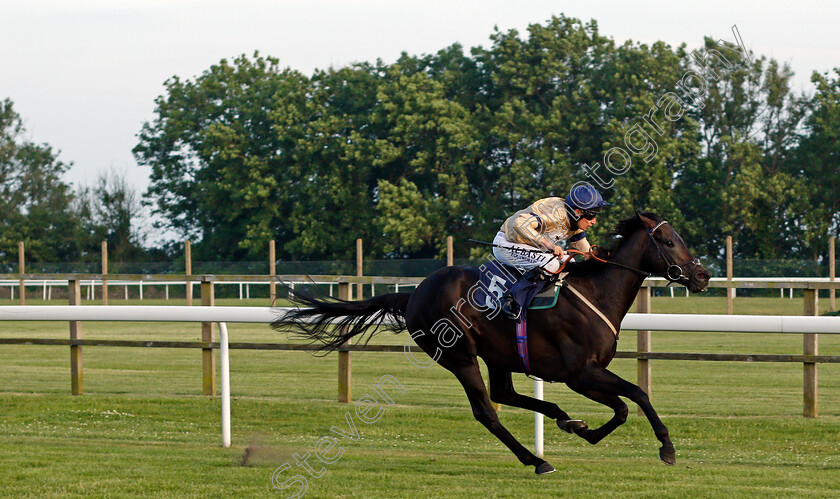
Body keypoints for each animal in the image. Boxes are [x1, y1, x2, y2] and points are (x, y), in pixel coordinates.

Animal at [272, 213, 712, 474]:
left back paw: (563, 420)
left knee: (505, 394)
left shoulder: (584, 374)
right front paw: (667, 448)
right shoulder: (580, 374)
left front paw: (584, 430)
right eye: (668, 242)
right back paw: (536, 460)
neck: (596, 293)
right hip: (459, 355)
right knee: (487, 410)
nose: (702, 275)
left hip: (499, 355)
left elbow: (623, 405)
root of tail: (413, 294)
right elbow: (633, 397)